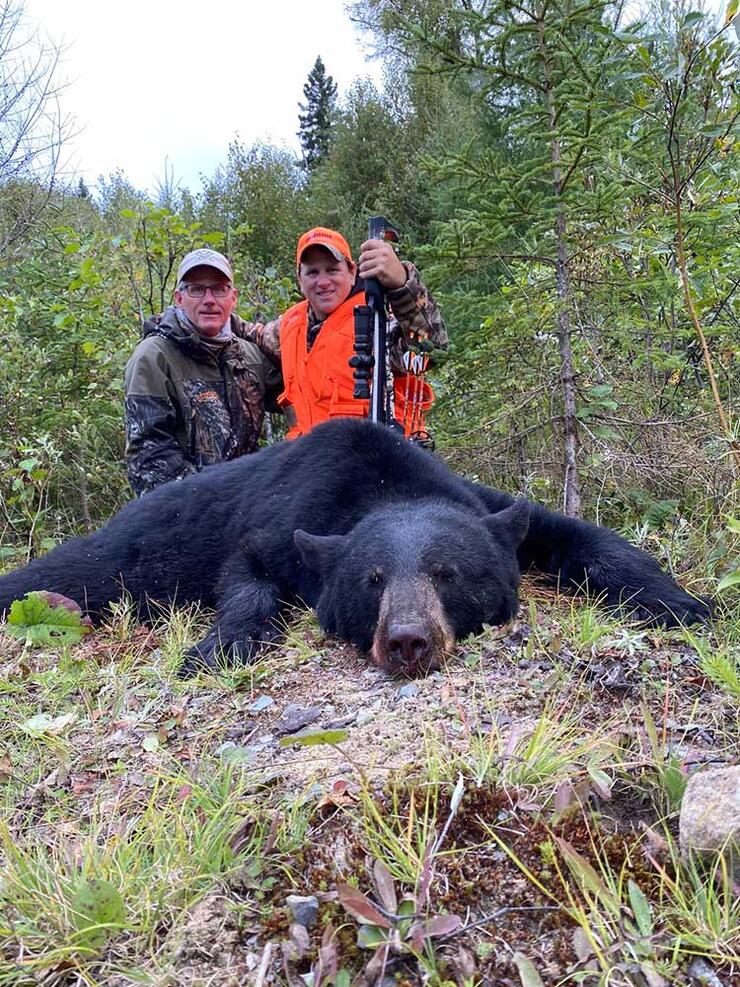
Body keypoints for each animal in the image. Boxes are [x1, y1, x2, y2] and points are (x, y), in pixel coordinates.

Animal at [0, 416, 712, 680]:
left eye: (447, 573)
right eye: (372, 579)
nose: (406, 640)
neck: (383, 483)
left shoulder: (488, 508)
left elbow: (576, 534)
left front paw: (682, 603)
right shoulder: (285, 520)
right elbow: (247, 575)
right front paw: (217, 647)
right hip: (125, 553)